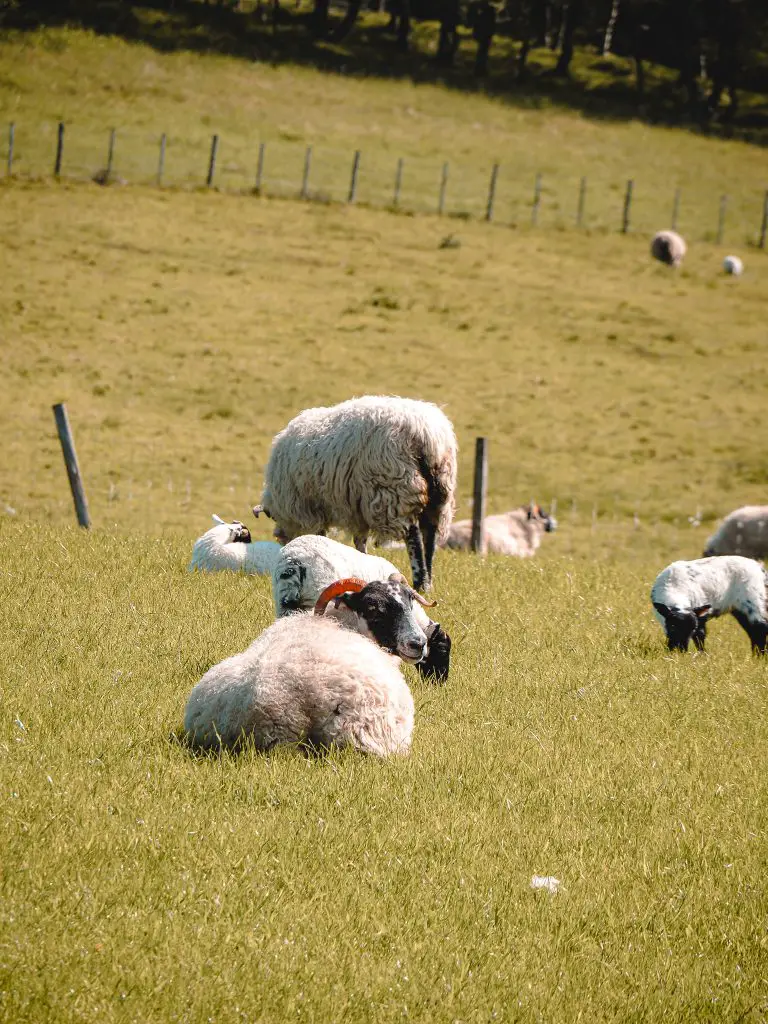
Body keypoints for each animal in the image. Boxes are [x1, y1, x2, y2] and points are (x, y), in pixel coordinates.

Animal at [253, 395, 456, 598]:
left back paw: (419, 582)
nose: (281, 540)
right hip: (439, 494)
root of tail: (426, 433)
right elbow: (360, 542)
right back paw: (428, 583)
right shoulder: (358, 510)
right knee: (429, 537)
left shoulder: (311, 510)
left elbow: (320, 536)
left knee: (413, 538)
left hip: (395, 487)